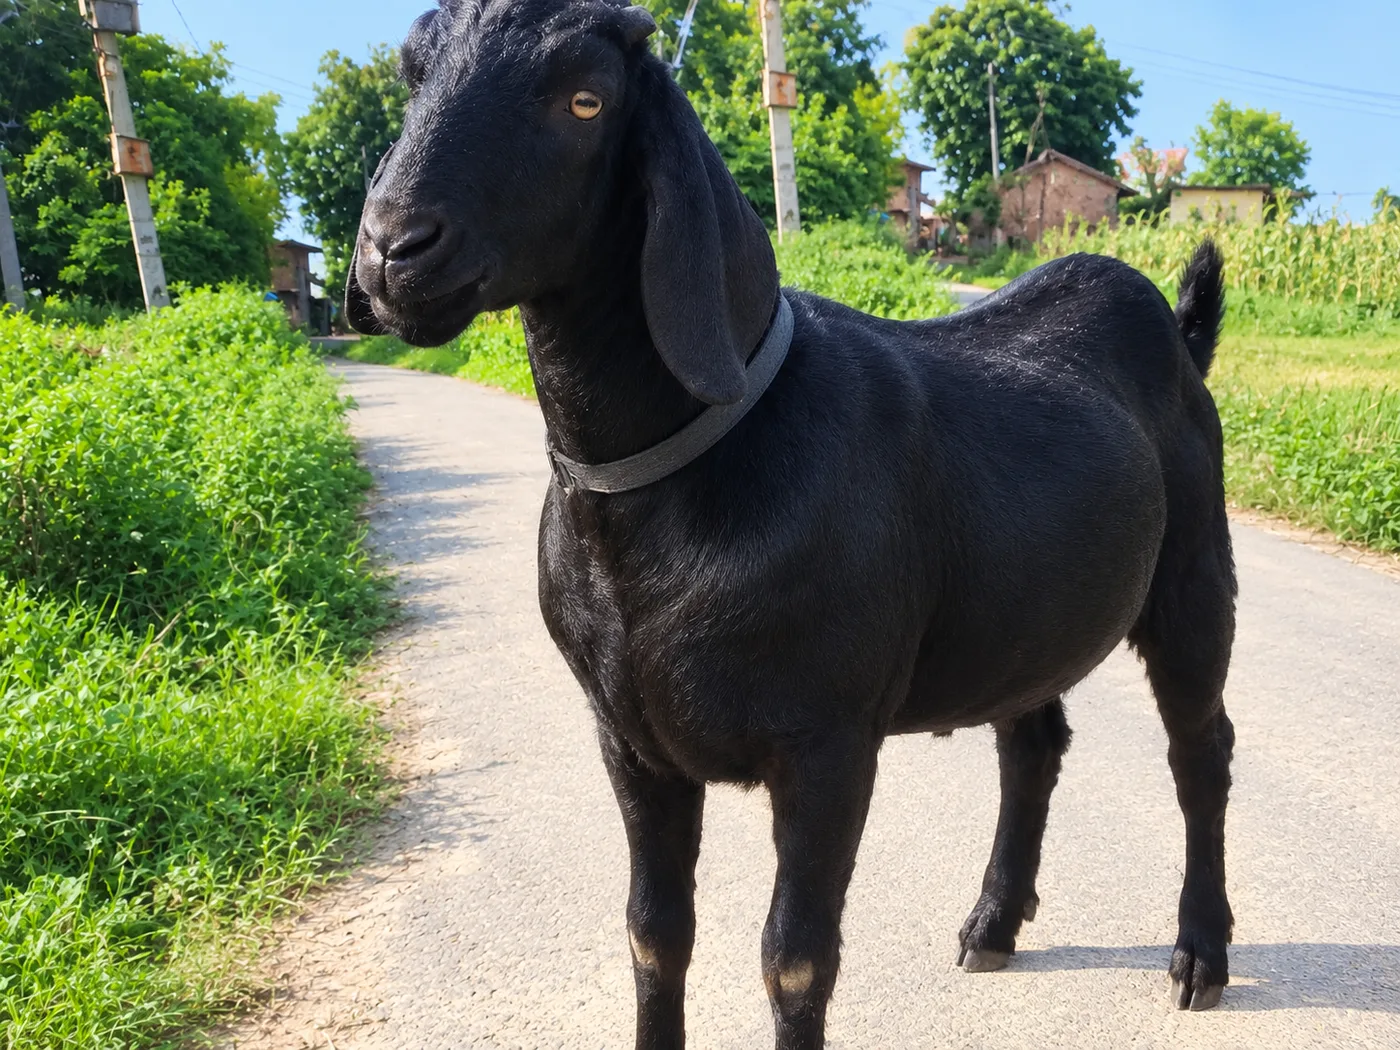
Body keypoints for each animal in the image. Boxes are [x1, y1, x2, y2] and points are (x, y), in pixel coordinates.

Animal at [347, 2, 1238, 1046]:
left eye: (584, 100)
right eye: (412, 75)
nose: (392, 249)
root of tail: (1177, 328)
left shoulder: (828, 739)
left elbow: (796, 958)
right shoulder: (627, 736)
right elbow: (655, 933)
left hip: (1193, 578)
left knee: (1200, 750)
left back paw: (1200, 954)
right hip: (1024, 614)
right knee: (1034, 741)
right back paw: (993, 922)